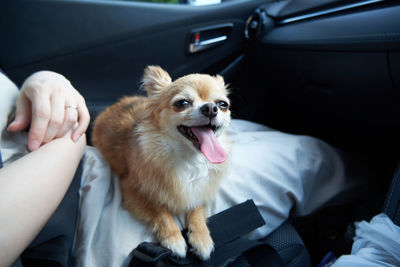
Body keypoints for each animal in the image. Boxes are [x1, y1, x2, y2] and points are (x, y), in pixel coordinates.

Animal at [91, 66, 231, 260]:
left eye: (223, 104)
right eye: (183, 103)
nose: (211, 108)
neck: (188, 158)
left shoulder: (200, 188)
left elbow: (196, 207)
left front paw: (201, 237)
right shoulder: (133, 190)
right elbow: (160, 210)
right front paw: (174, 239)